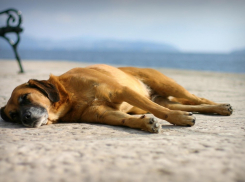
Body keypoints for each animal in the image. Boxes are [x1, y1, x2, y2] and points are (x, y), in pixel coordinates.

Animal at [0, 64, 234, 133]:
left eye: (25, 97)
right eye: (13, 116)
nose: (26, 119)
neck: (70, 96)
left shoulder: (122, 92)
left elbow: (159, 112)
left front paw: (178, 119)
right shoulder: (103, 114)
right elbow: (124, 119)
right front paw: (145, 124)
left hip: (167, 85)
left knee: (197, 97)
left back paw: (222, 107)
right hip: (160, 98)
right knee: (190, 104)